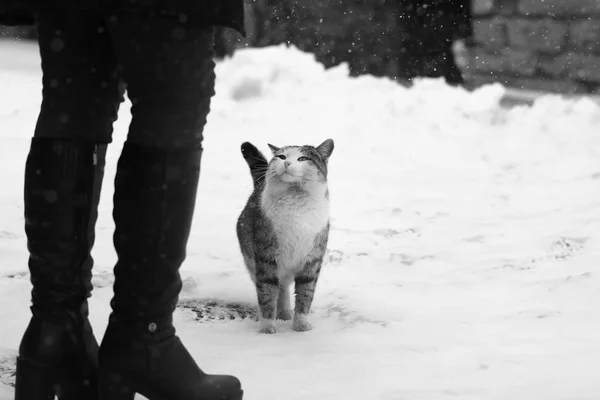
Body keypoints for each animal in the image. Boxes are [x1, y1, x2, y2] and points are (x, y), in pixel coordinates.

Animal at [237, 139, 336, 332]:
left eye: (302, 158)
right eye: (281, 156)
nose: (286, 163)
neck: (295, 200)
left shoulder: (312, 259)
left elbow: (305, 293)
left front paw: (301, 324)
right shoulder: (266, 256)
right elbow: (266, 292)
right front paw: (267, 326)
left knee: (283, 287)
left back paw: (285, 313)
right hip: (252, 260)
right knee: (273, 286)